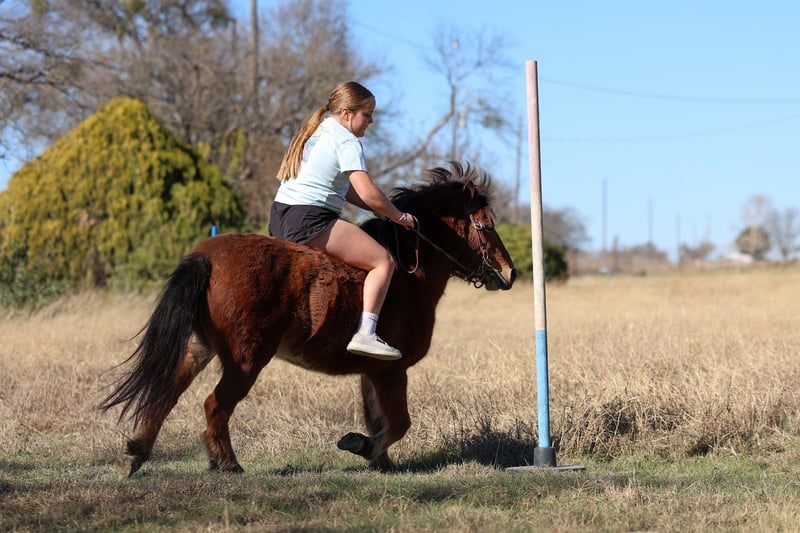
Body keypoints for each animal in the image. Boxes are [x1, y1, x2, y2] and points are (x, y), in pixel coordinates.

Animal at [100, 162, 517, 476]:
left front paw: (379, 460)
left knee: (166, 394)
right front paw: (362, 447)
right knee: (214, 405)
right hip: (245, 360)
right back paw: (227, 463)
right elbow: (398, 422)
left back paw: (136, 454)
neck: (406, 272)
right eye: (486, 225)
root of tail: (207, 256)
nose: (509, 272)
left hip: (197, 347)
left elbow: (378, 418)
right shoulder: (391, 371)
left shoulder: (372, 373)